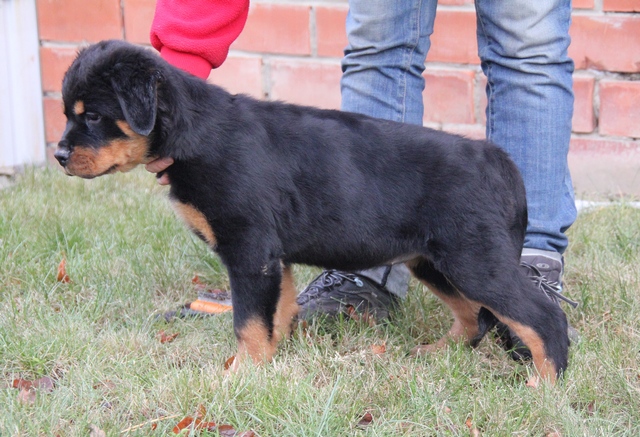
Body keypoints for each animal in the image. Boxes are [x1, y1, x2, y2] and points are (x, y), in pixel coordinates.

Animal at [52, 40, 568, 382]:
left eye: (92, 115)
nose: (58, 155)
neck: (191, 135)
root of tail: (498, 160)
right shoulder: (272, 257)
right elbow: (275, 314)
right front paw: (265, 362)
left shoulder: (249, 250)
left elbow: (248, 320)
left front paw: (238, 374)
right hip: (434, 261)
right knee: (475, 316)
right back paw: (436, 352)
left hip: (473, 258)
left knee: (541, 316)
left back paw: (546, 385)